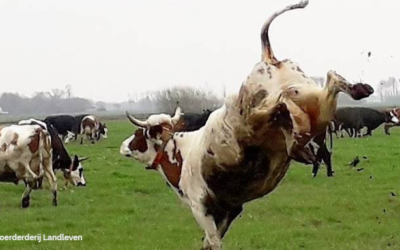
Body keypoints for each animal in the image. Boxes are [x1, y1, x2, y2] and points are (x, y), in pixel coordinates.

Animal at [120, 0, 374, 249]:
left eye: (139, 133)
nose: (123, 145)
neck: (180, 151)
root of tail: (268, 58)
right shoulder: (230, 208)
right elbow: (211, 241)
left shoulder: (201, 207)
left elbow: (213, 241)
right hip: (315, 104)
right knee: (330, 80)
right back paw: (351, 96)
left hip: (250, 118)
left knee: (273, 108)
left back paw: (288, 123)